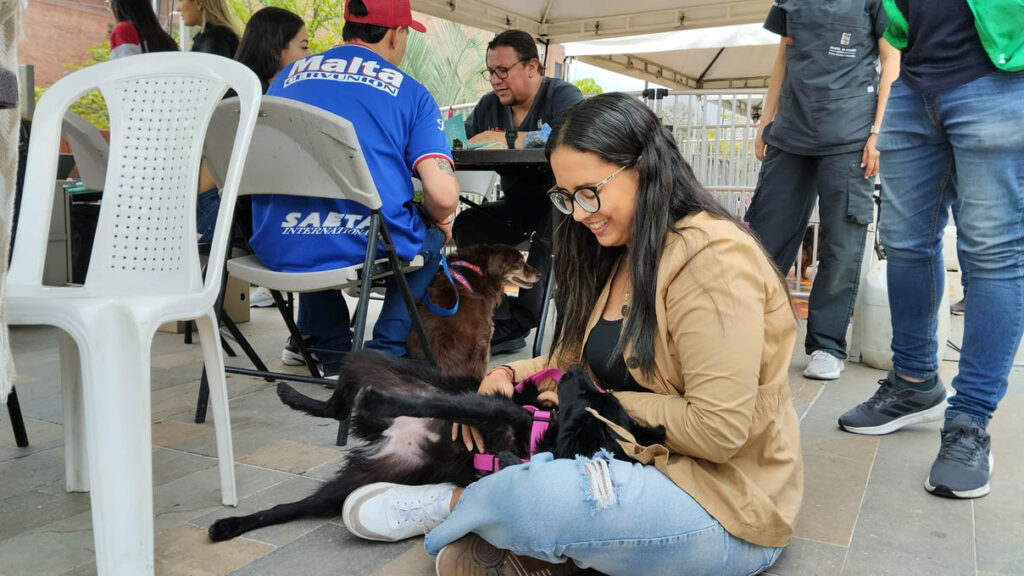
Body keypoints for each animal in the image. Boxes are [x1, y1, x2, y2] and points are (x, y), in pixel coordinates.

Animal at [207, 348, 663, 541]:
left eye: (591, 394)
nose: (573, 367)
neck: (537, 437)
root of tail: (391, 437)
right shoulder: (485, 408)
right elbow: (441, 404)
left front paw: (506, 458)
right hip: (370, 361)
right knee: (336, 404)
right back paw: (292, 394)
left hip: (364, 477)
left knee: (293, 505)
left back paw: (233, 524)